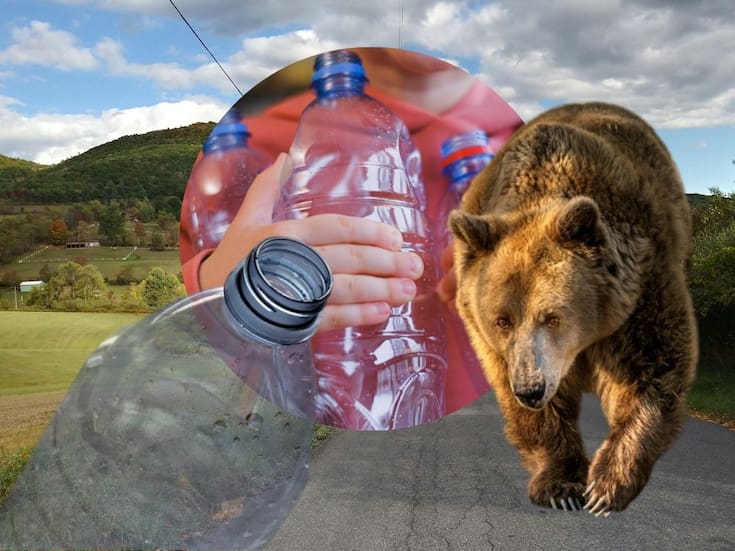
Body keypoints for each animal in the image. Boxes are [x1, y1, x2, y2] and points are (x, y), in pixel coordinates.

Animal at [448, 102, 698, 516]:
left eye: (553, 317)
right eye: (502, 320)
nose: (530, 389)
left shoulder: (638, 294)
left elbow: (652, 369)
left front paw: (604, 488)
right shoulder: (495, 343)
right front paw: (562, 487)